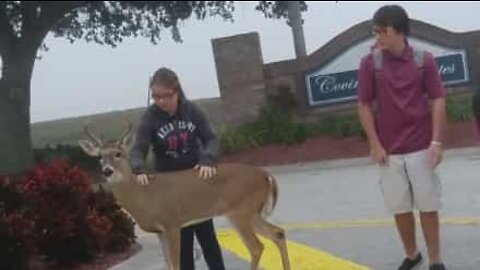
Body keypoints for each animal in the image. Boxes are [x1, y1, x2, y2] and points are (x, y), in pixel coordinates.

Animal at [78, 126, 292, 270]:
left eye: (118, 153)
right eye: (99, 157)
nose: (107, 171)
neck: (142, 196)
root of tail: (265, 174)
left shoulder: (171, 222)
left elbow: (177, 264)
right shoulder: (160, 231)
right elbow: (168, 265)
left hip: (241, 210)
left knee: (256, 247)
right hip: (251, 212)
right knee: (278, 233)